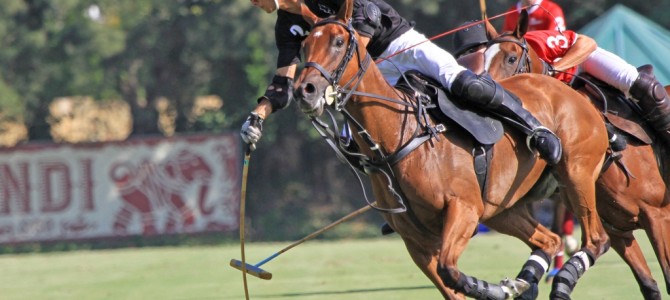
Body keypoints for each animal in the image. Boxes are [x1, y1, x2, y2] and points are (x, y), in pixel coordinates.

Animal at [294, 1, 616, 298]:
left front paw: (495, 289)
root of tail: (570, 91)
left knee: (596, 239)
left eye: (338, 42)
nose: (304, 91)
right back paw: (525, 280)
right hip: (501, 208)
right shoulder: (417, 243)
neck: (399, 138)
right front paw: (508, 286)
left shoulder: (464, 209)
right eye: (305, 45)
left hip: (576, 173)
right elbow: (448, 281)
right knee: (549, 239)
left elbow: (451, 271)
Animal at [484, 10, 670, 298]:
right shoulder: (618, 231)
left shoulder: (658, 216)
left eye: (511, 58)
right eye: (483, 56)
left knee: (646, 86)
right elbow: (649, 285)